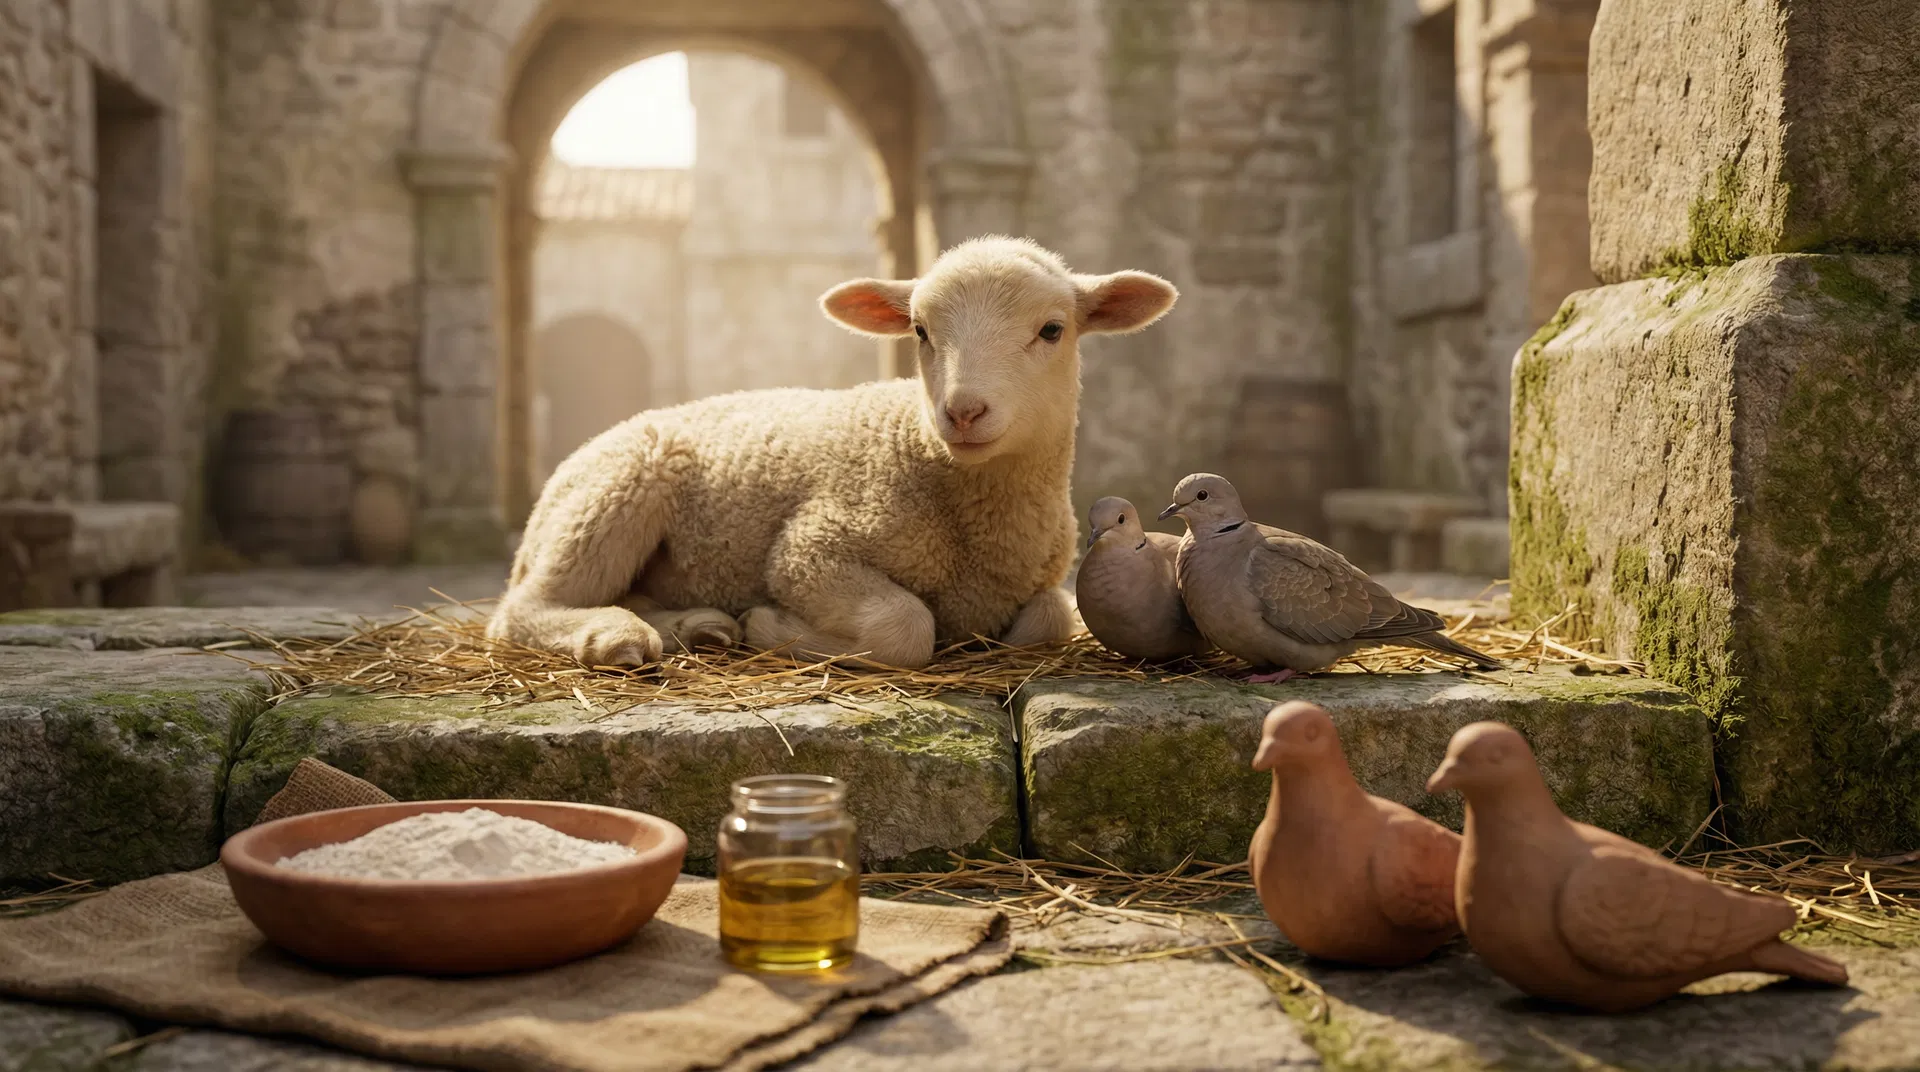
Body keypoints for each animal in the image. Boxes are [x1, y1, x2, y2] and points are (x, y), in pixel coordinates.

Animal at [487, 236, 1179, 670]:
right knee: (520, 611)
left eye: (1053, 330)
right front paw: (773, 628)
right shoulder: (809, 549)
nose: (962, 412)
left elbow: (1049, 621)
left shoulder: (1040, 580)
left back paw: (695, 627)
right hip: (614, 496)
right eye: (920, 331)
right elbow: (905, 627)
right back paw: (617, 636)